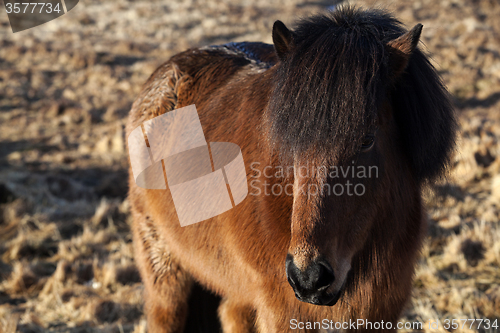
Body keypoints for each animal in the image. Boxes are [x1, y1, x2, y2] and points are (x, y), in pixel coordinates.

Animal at [126, 5, 458, 332]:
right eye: (290, 138)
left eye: (367, 140)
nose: (309, 278)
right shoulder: (283, 312)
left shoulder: (382, 310)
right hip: (165, 276)